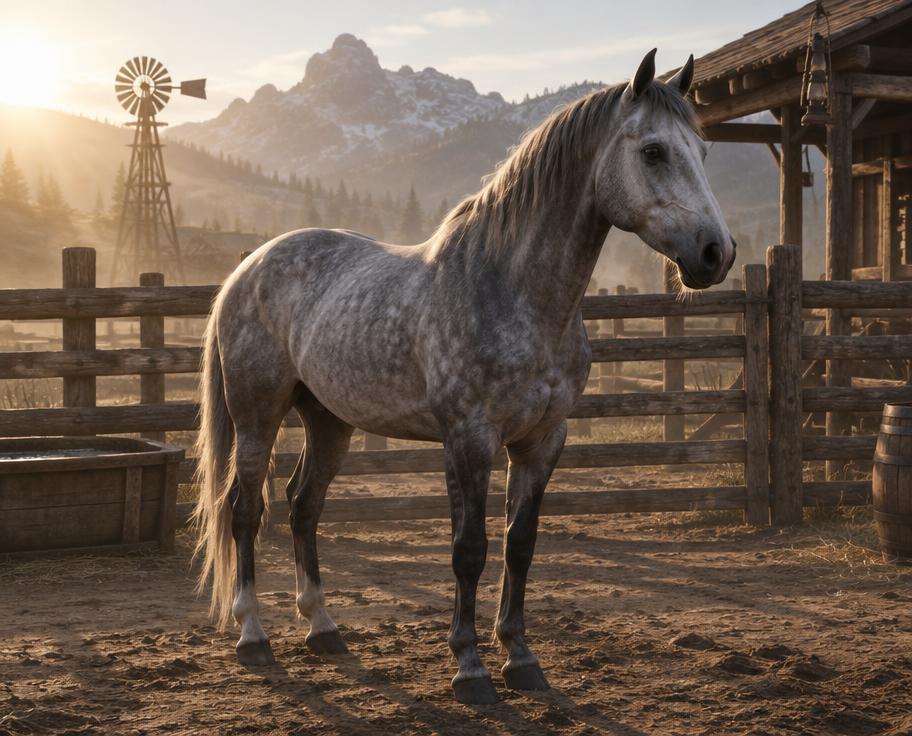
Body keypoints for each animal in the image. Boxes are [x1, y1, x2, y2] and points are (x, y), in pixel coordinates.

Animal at [193, 48, 735, 705]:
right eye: (653, 150)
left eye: (703, 151)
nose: (716, 253)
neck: (514, 291)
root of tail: (247, 267)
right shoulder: (469, 440)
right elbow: (468, 550)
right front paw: (469, 668)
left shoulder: (542, 441)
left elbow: (519, 545)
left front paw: (521, 659)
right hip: (257, 415)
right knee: (245, 509)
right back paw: (252, 636)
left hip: (329, 421)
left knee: (304, 505)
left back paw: (323, 629)